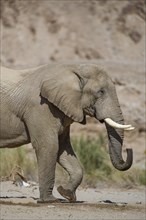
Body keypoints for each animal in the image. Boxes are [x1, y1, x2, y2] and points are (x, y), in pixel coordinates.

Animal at [0, 63, 135, 203]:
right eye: (101, 92)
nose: (129, 149)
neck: (74, 67)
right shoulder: (40, 107)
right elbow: (49, 146)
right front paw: (50, 200)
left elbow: (63, 148)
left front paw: (66, 194)